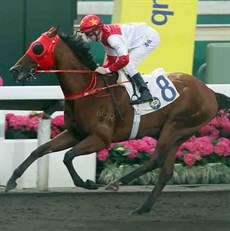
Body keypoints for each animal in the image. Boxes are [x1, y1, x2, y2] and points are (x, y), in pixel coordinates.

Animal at [6, 27, 229, 215]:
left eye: (37, 47)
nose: (15, 70)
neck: (87, 89)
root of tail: (209, 92)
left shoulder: (101, 138)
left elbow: (68, 157)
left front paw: (88, 183)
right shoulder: (75, 133)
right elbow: (39, 150)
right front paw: (11, 181)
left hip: (175, 127)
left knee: (156, 159)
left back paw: (117, 183)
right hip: (178, 135)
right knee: (165, 171)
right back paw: (142, 208)